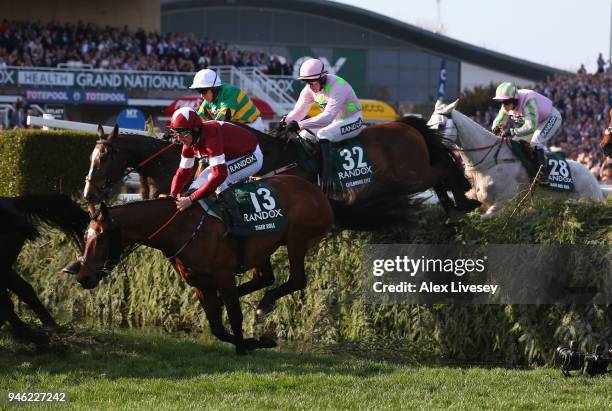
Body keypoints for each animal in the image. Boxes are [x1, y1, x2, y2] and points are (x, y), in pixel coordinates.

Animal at [0, 193, 89, 344]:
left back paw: (39, 337)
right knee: (23, 292)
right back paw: (48, 330)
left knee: (8, 304)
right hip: (5, 268)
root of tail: (12, 202)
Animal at [77, 175, 334, 356]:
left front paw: (244, 347)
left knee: (297, 279)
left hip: (297, 238)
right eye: (86, 234)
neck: (181, 228)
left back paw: (265, 303)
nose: (83, 276)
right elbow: (217, 328)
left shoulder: (224, 276)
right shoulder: (200, 284)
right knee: (265, 278)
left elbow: (235, 315)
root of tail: (318, 192)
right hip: (262, 249)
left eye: (101, 237)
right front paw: (254, 342)